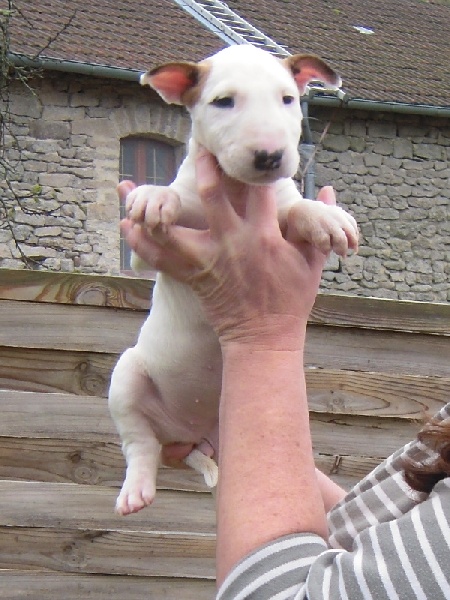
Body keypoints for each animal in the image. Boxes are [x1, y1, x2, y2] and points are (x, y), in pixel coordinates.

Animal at [108, 45, 358, 515]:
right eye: (223, 101)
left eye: (288, 99)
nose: (270, 156)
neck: (238, 192)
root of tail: (188, 433)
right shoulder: (142, 252)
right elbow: (168, 202)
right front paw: (154, 196)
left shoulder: (280, 213)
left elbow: (296, 208)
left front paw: (325, 215)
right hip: (127, 378)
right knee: (139, 445)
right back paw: (136, 489)